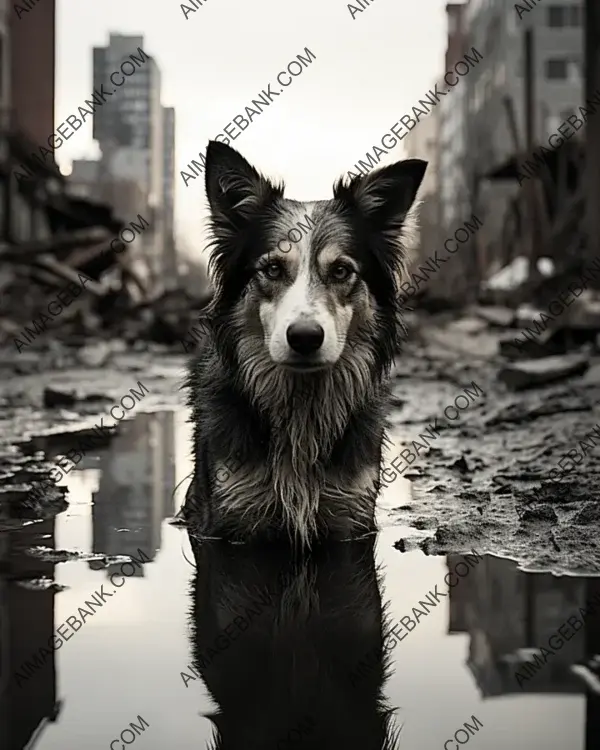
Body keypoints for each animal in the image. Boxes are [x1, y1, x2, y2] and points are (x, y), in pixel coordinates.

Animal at [183, 141, 426, 548]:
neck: (301, 403)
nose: (305, 337)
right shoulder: (229, 518)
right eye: (272, 269)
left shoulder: (350, 516)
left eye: (341, 270)